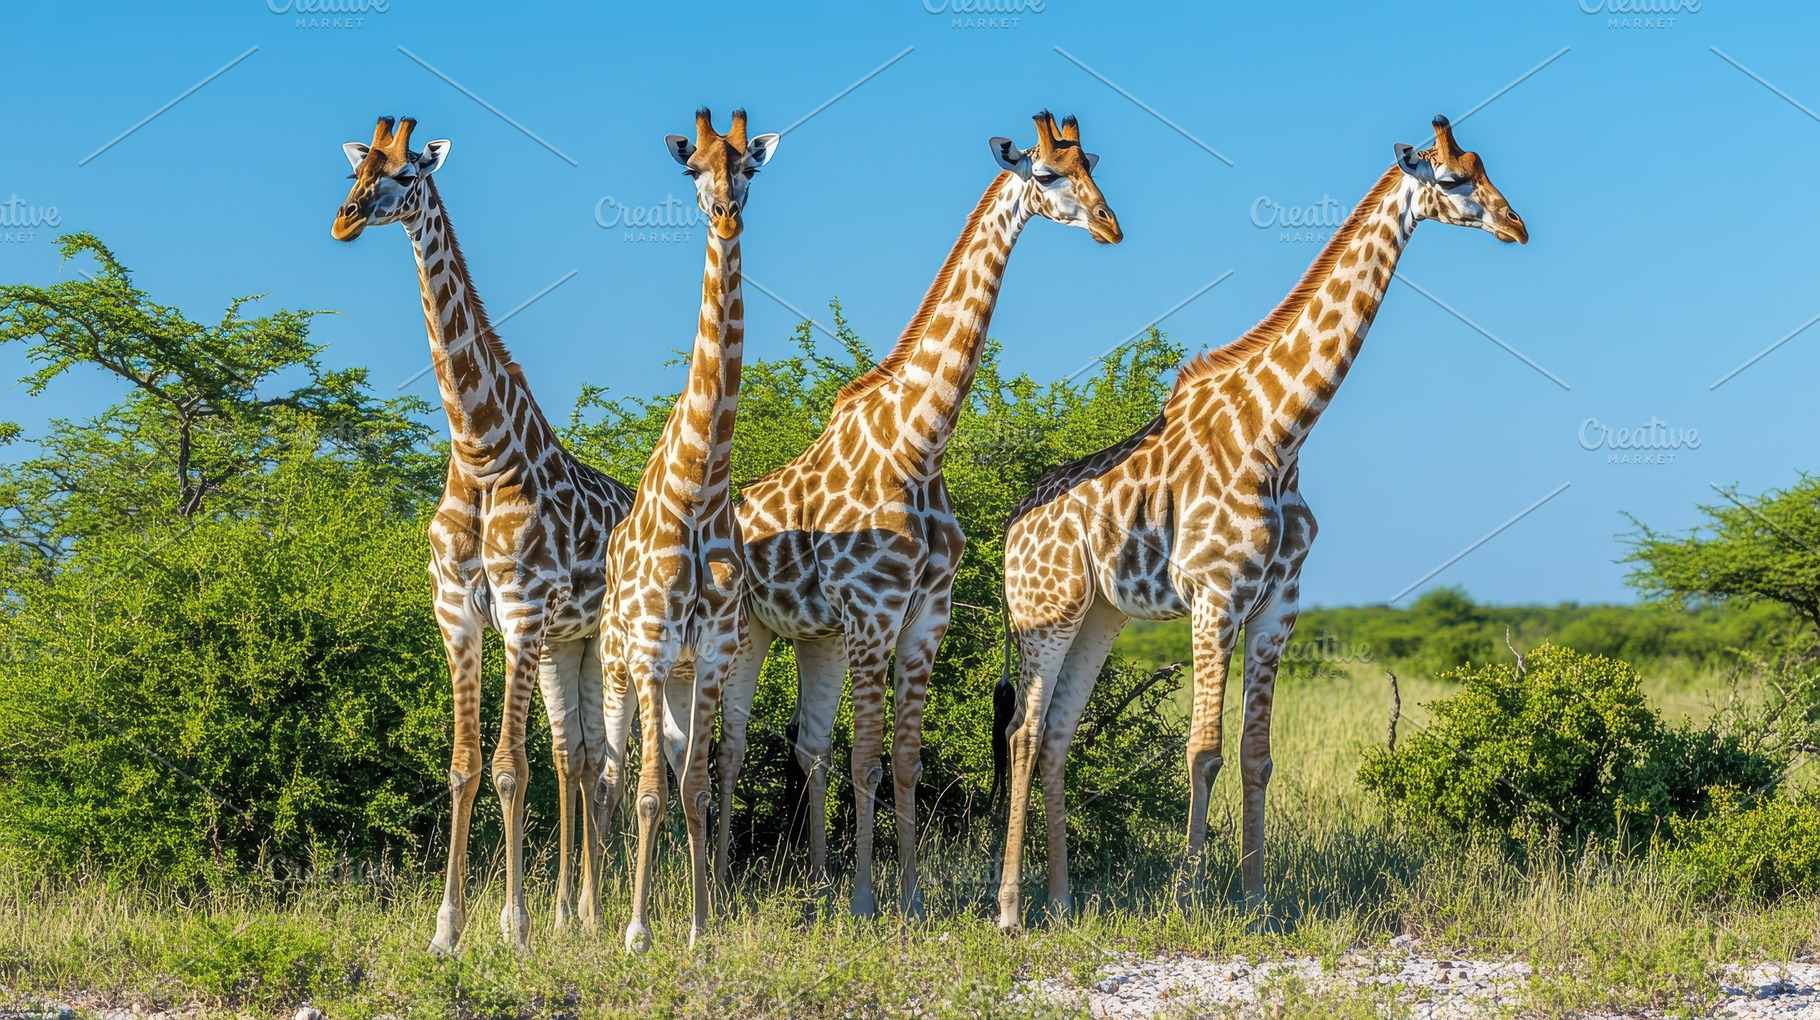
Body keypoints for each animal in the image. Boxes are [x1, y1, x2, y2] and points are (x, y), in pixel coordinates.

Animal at [331, 116, 633, 951]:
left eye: (405, 174)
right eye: (358, 168)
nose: (344, 218)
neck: (480, 450)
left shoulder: (521, 611)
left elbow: (507, 767)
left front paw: (514, 926)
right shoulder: (457, 612)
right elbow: (466, 765)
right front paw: (448, 930)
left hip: (608, 643)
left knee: (607, 764)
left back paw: (598, 914)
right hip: (569, 644)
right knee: (575, 756)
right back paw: (574, 914)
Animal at [714, 111, 1122, 919]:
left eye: (1092, 166)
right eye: (1047, 174)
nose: (1109, 225)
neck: (920, 442)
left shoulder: (924, 614)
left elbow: (903, 758)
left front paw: (906, 898)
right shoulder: (874, 611)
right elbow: (868, 758)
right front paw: (868, 902)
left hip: (814, 637)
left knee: (807, 744)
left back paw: (815, 884)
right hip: (748, 629)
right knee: (730, 745)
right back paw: (714, 880)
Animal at [993, 116, 1527, 928]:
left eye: (1483, 169)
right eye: (1455, 179)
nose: (1516, 225)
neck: (1280, 433)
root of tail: (1008, 530)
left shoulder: (1279, 604)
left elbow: (1256, 754)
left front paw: (1257, 900)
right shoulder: (1215, 597)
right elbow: (1203, 748)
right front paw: (1188, 899)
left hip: (1097, 617)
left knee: (1054, 732)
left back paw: (1058, 903)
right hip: (1041, 611)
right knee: (1022, 733)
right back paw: (1010, 910)